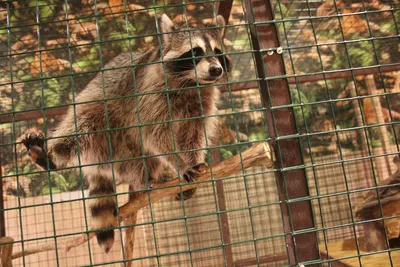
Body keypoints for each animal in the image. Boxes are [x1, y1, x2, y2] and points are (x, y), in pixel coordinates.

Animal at [22, 13, 231, 254]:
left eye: (217, 51)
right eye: (195, 52)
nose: (216, 69)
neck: (191, 82)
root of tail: (101, 165)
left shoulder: (201, 100)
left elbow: (192, 134)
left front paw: (193, 160)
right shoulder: (150, 94)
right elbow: (155, 133)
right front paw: (180, 164)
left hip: (128, 158)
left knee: (146, 160)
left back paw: (145, 180)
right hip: (101, 117)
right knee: (82, 124)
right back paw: (52, 156)